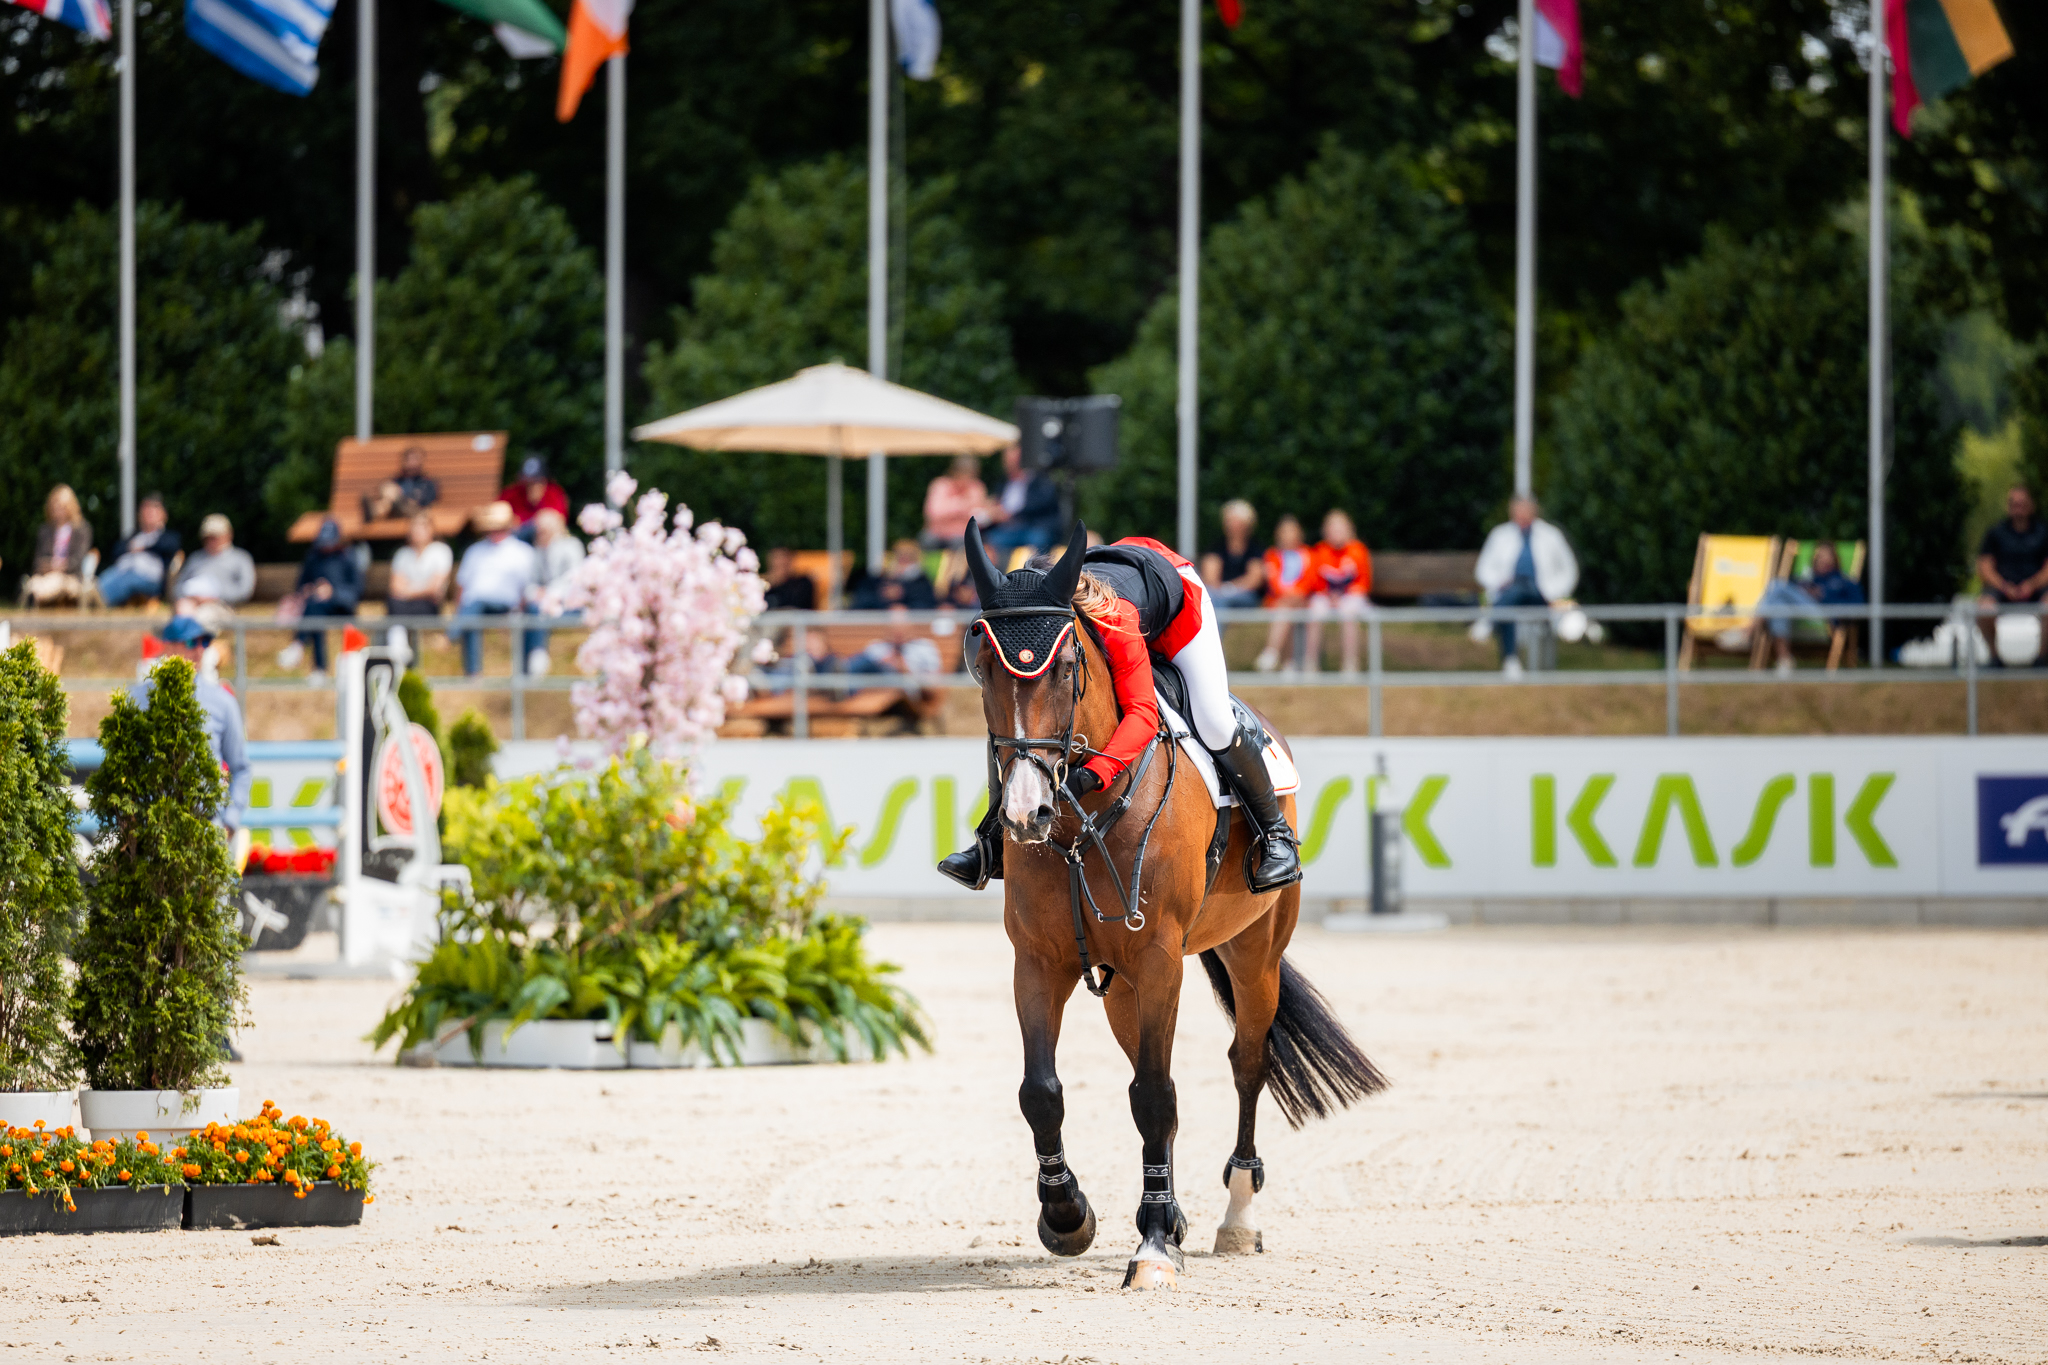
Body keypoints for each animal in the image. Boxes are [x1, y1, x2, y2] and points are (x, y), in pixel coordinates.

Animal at [964, 535, 1388, 1290]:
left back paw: (1234, 1217)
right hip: (1121, 982)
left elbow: (1157, 1095)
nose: (1024, 814)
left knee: (1248, 1060)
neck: (1083, 818)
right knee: (1142, 1061)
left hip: (1254, 954)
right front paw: (1067, 1216)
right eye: (981, 666)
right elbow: (1043, 1090)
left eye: (1066, 667)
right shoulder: (1039, 961)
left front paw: (1155, 1244)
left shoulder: (1161, 957)